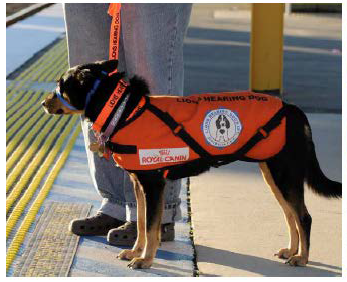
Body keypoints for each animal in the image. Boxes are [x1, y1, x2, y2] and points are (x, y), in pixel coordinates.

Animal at [41, 60, 342, 268]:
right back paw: (292, 251)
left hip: (285, 174)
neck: (124, 111)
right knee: (290, 215)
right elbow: (141, 223)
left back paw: (302, 258)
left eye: (61, 86)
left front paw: (145, 260)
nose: (43, 102)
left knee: (304, 217)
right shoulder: (140, 186)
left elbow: (151, 227)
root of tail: (294, 110)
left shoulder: (153, 184)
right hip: (273, 175)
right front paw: (136, 251)